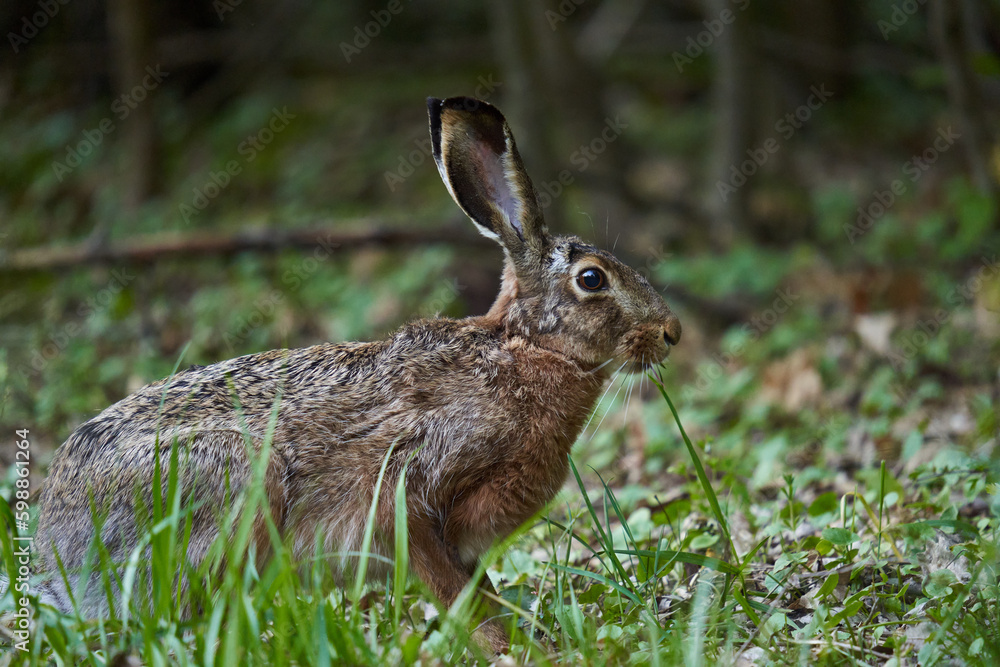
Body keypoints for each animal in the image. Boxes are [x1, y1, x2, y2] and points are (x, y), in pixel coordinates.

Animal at [34, 96, 681, 653]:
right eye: (592, 279)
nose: (671, 331)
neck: (524, 349)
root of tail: (56, 546)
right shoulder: (411, 495)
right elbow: (457, 597)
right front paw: (509, 650)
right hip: (232, 478)